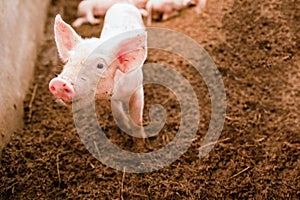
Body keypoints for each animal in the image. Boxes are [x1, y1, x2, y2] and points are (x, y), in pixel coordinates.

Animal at [50, 3, 148, 141]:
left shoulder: (137, 89)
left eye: (100, 66)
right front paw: (125, 125)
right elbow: (117, 112)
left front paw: (140, 142)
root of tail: (123, 2)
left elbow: (137, 118)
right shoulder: (113, 98)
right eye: (69, 60)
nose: (59, 83)